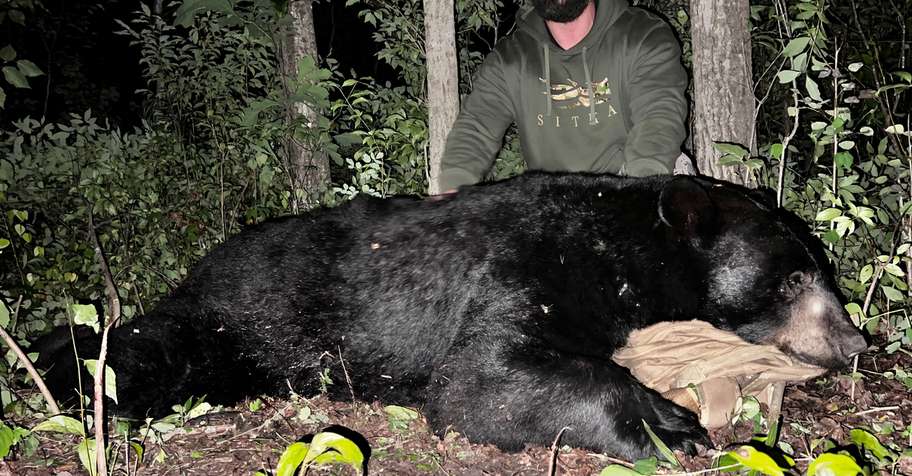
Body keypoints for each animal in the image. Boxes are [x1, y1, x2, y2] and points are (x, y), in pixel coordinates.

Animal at [41, 172, 867, 460]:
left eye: (823, 268)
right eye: (796, 275)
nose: (858, 339)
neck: (622, 248)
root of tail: (204, 262)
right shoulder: (529, 263)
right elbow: (480, 379)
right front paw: (670, 425)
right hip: (236, 316)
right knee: (147, 348)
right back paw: (64, 365)